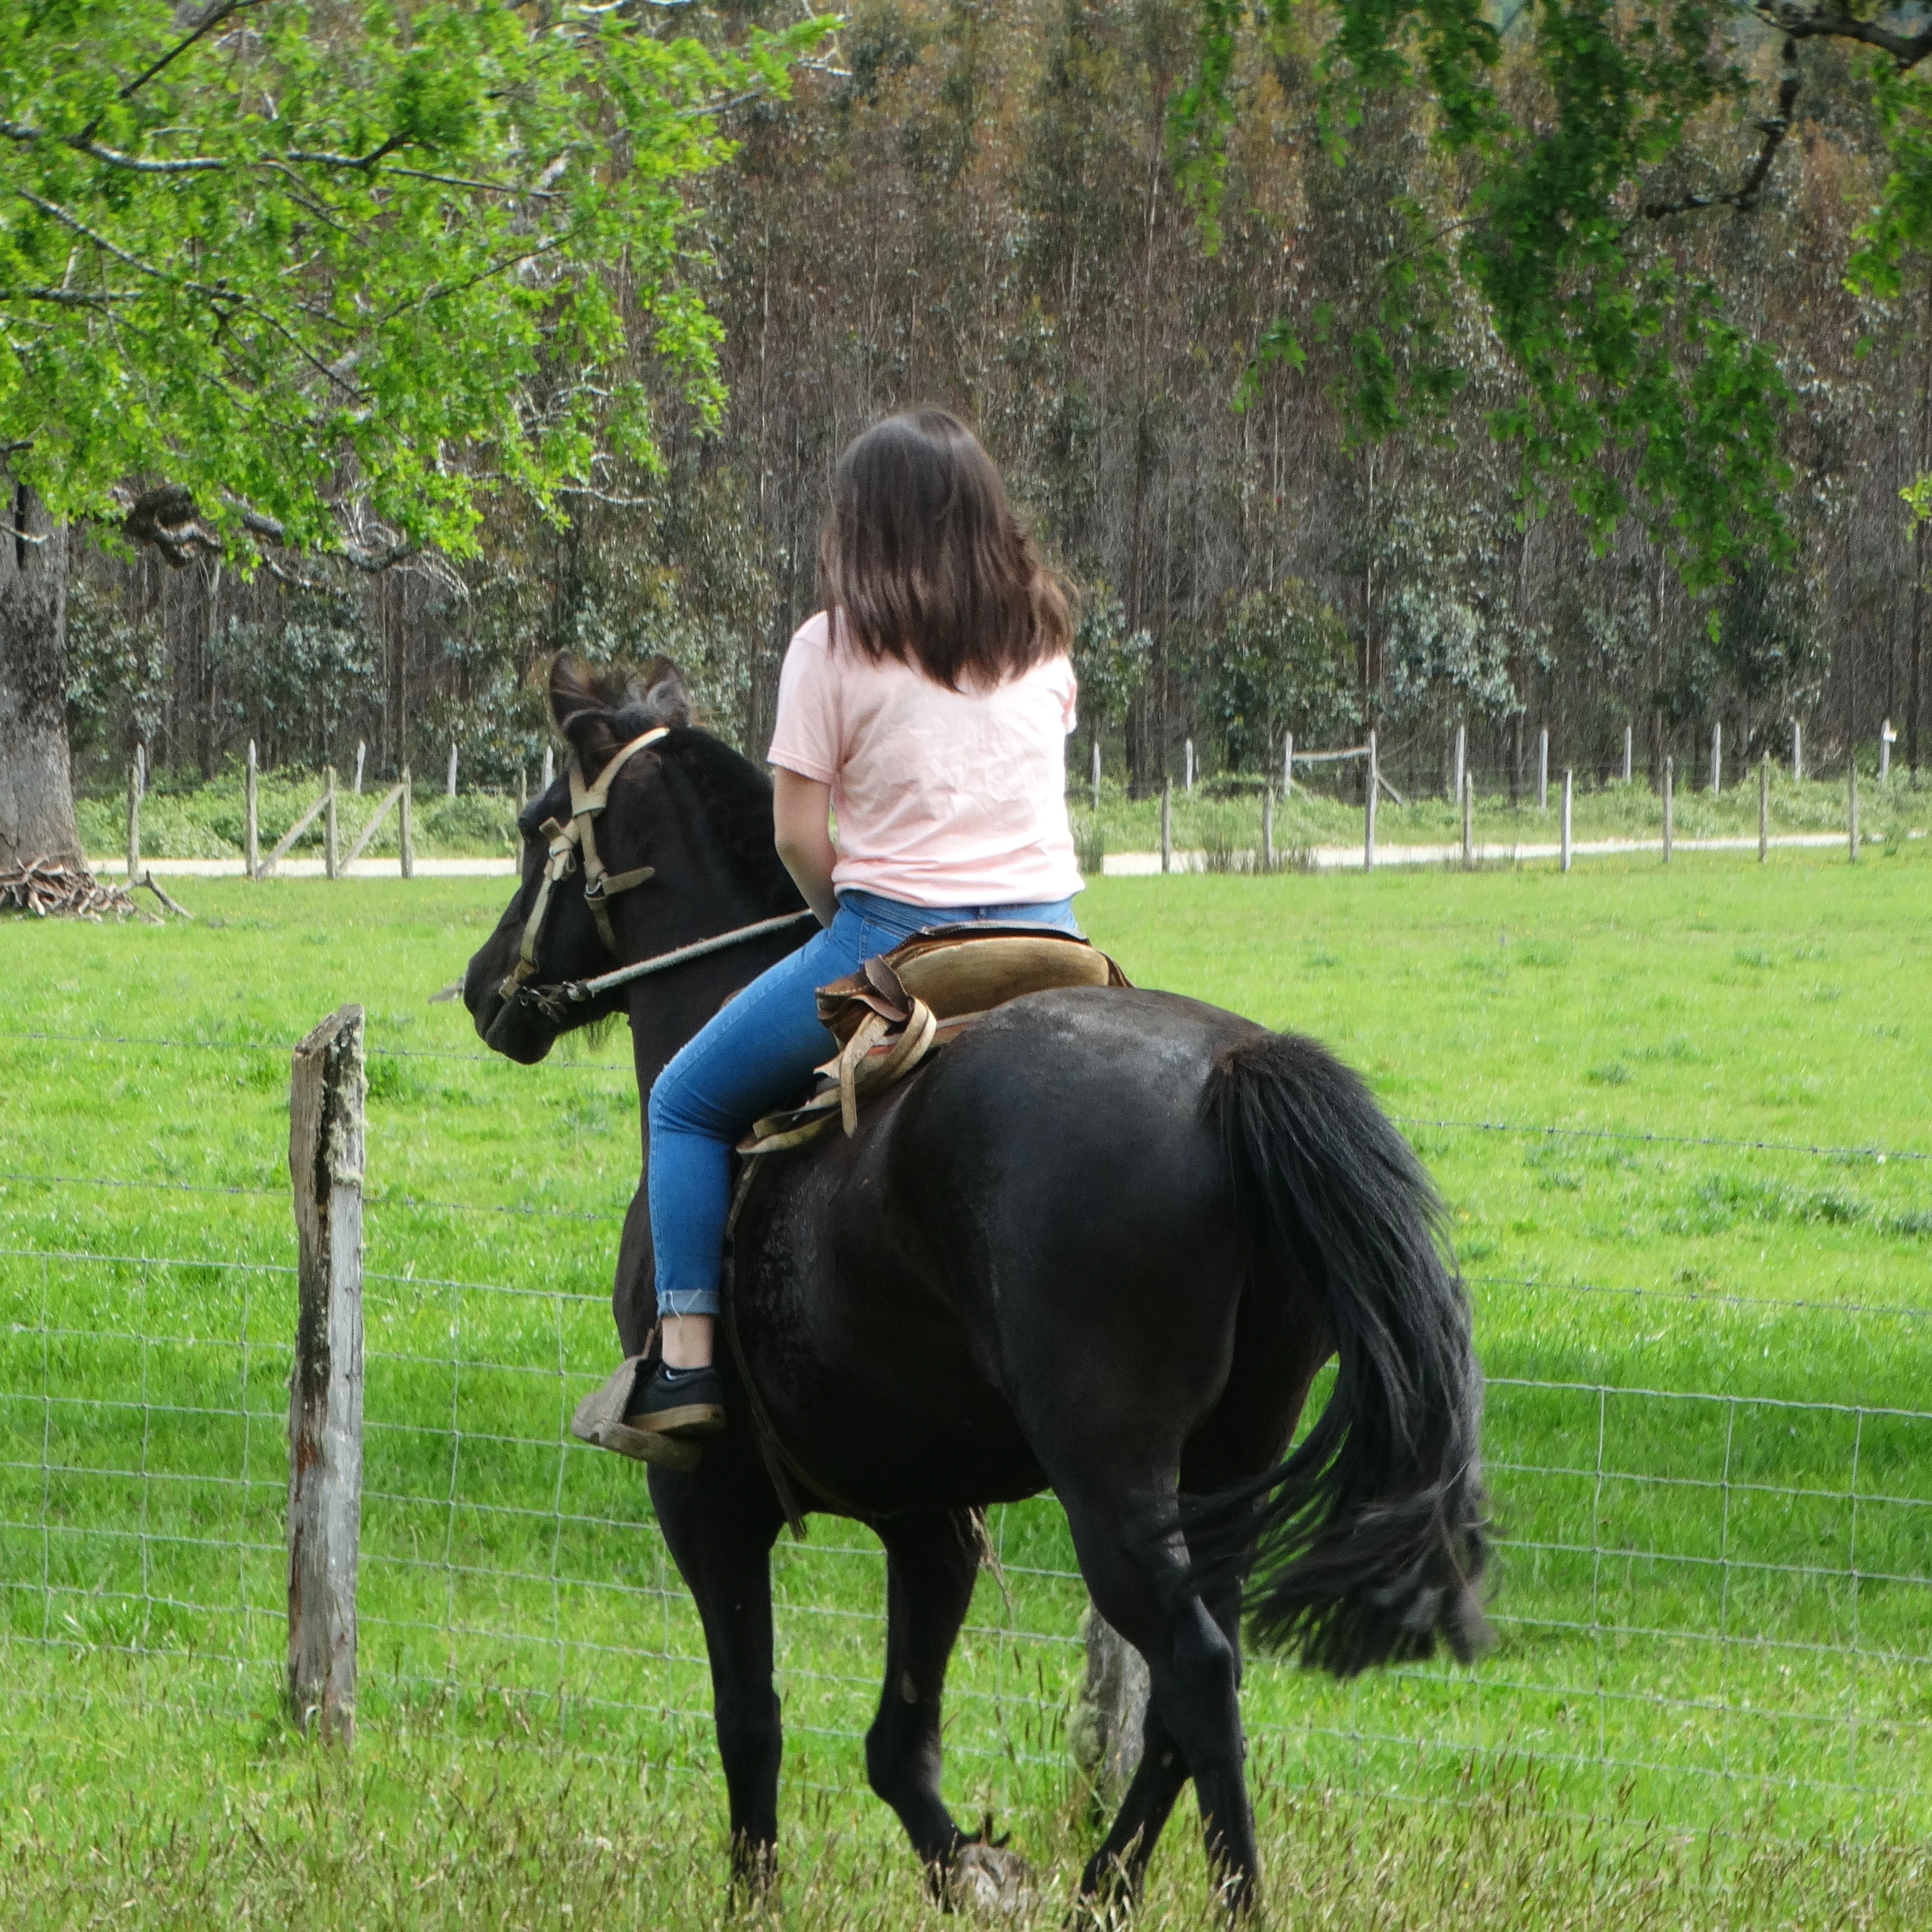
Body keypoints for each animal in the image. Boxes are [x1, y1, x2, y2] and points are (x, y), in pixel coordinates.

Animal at [467, 656, 1491, 1909]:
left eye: (537, 828)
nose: (484, 987)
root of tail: (1229, 1073)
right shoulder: (929, 1517)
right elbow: (896, 1743)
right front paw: (971, 1867)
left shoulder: (707, 1502)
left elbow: (749, 1720)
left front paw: (762, 1895)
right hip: (1231, 1461)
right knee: (1203, 1682)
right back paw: (1101, 1886)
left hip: (1113, 1477)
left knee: (1195, 1671)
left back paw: (1226, 1895)